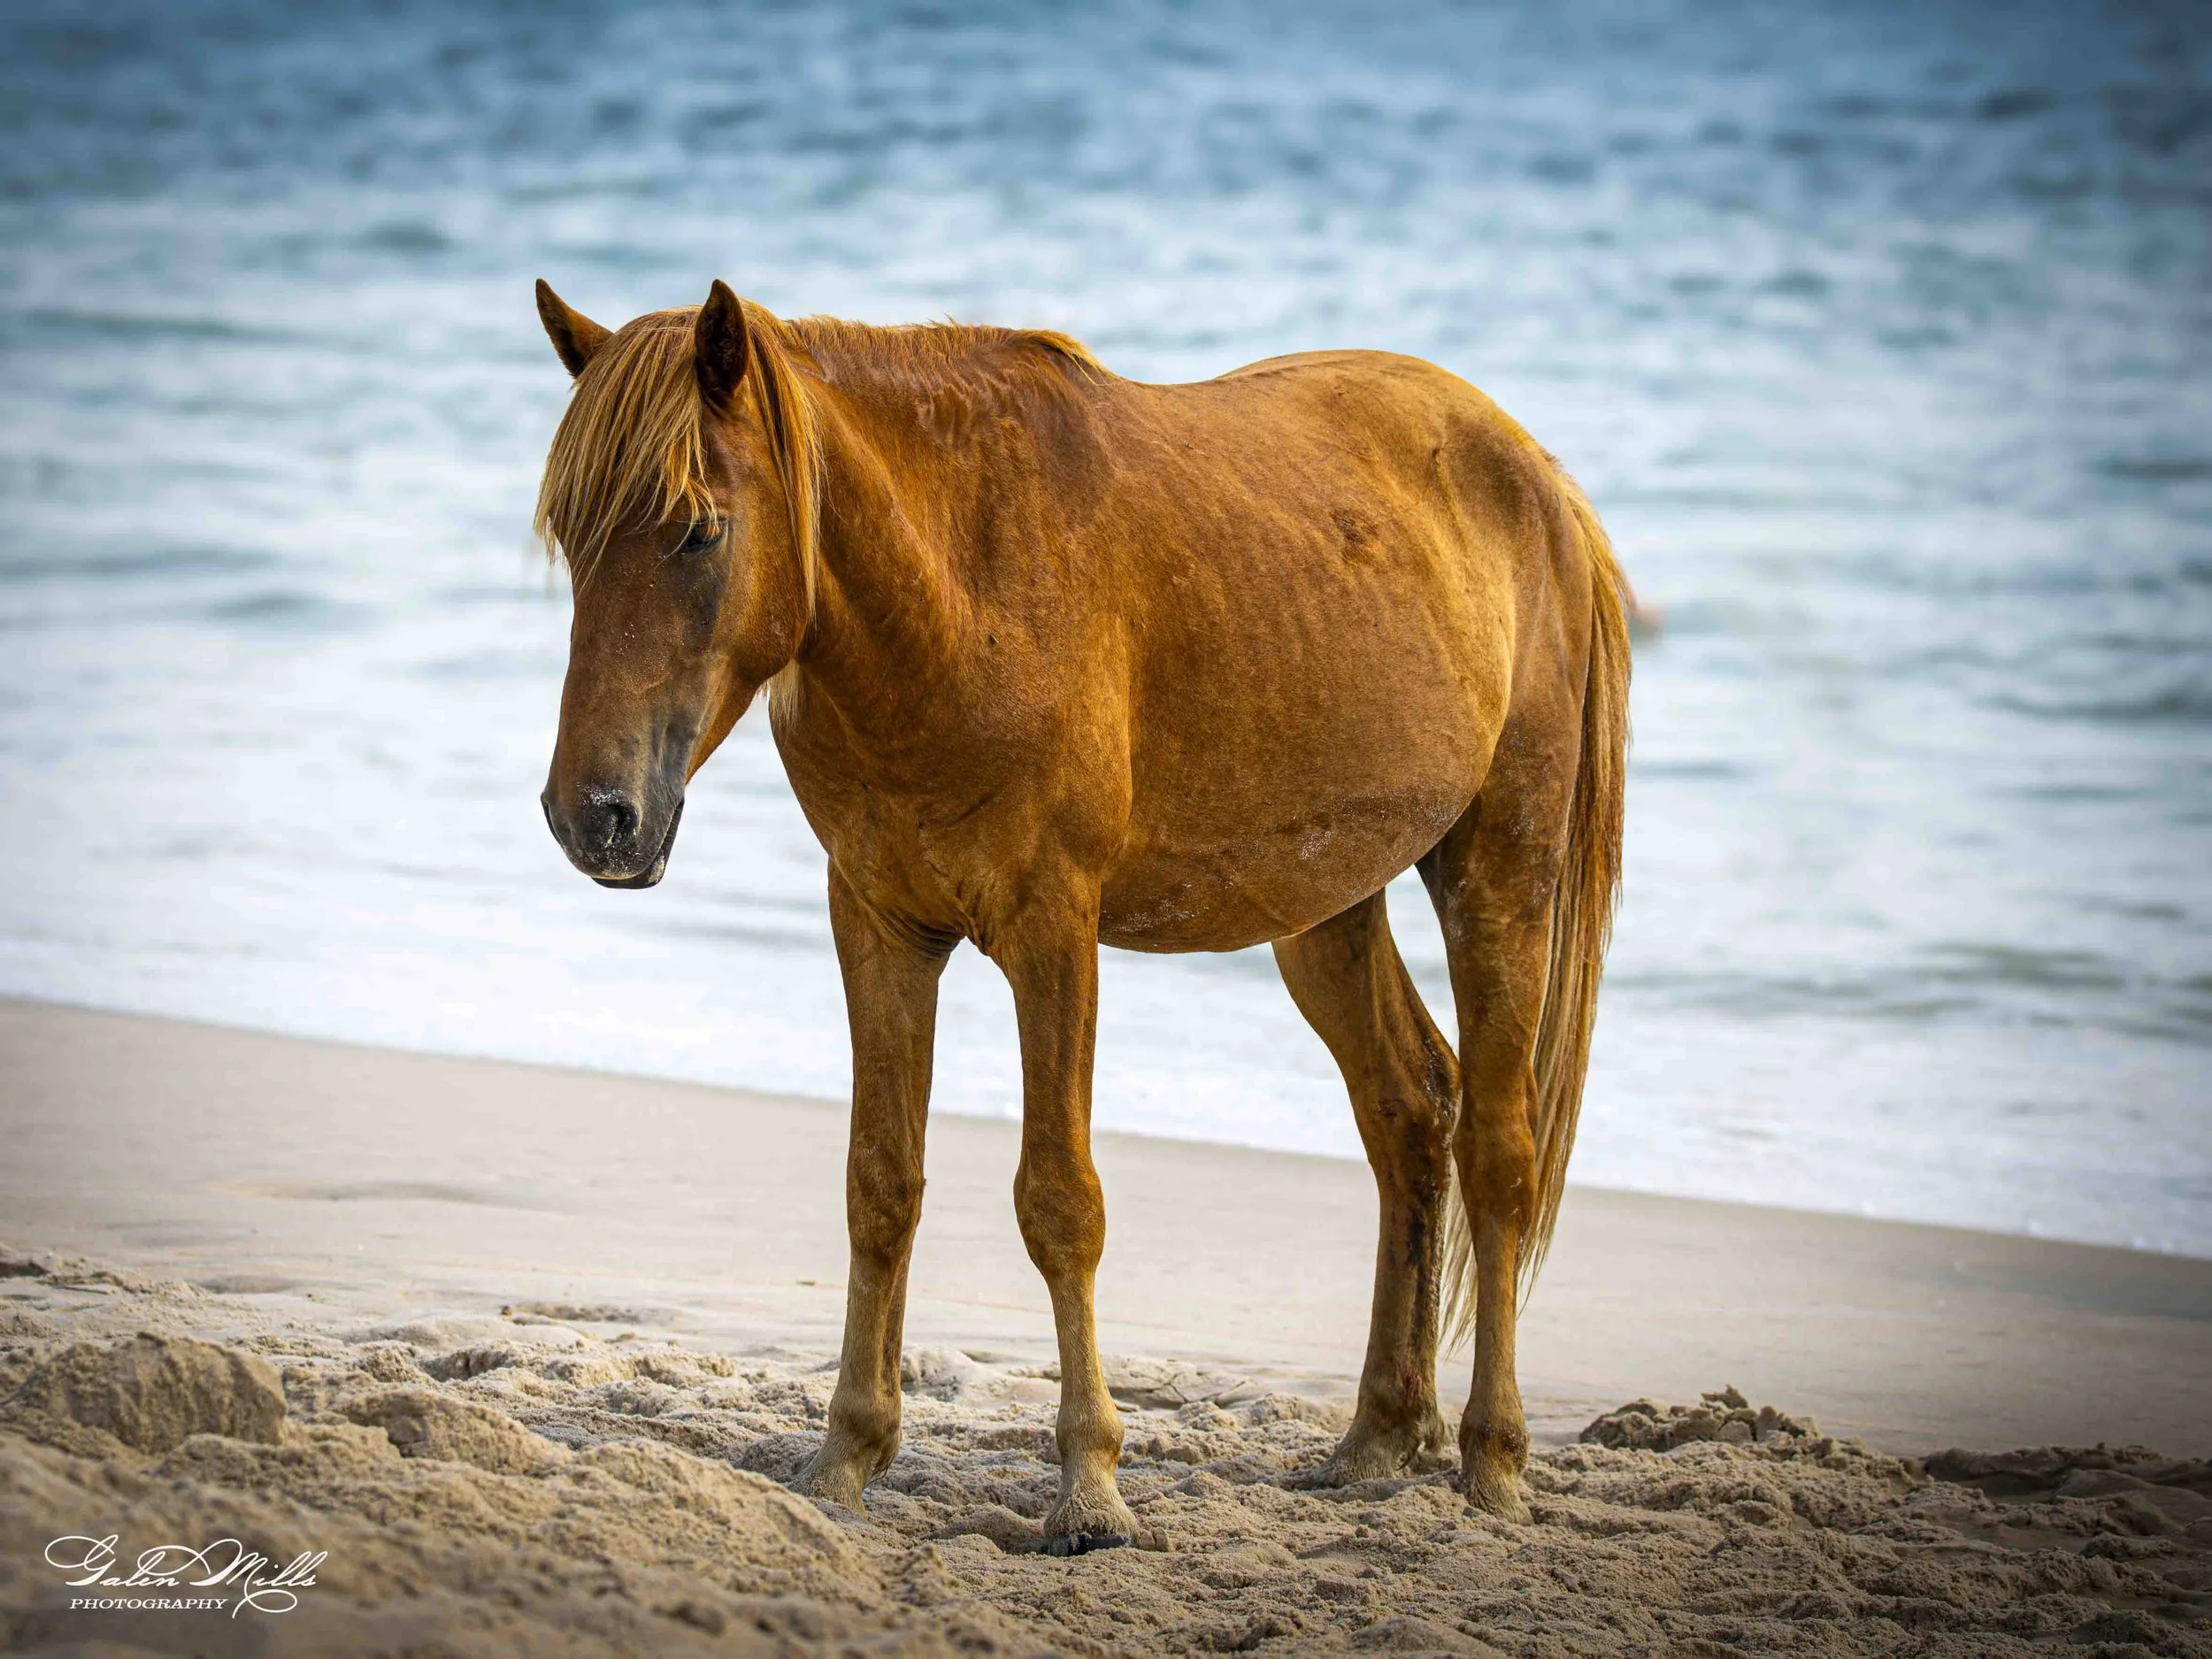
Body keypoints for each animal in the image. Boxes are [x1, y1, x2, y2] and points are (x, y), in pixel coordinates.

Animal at [531, 279, 1629, 1550]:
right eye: (571, 536)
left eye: (699, 530)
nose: (592, 816)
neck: (963, 591)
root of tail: (1542, 480)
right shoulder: (880, 926)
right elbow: (880, 1185)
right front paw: (847, 1453)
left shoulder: (1053, 933)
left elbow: (1060, 1201)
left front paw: (1090, 1486)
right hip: (1326, 904)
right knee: (1411, 1111)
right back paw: (1376, 1436)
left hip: (1501, 869)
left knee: (1499, 1148)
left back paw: (1493, 1461)